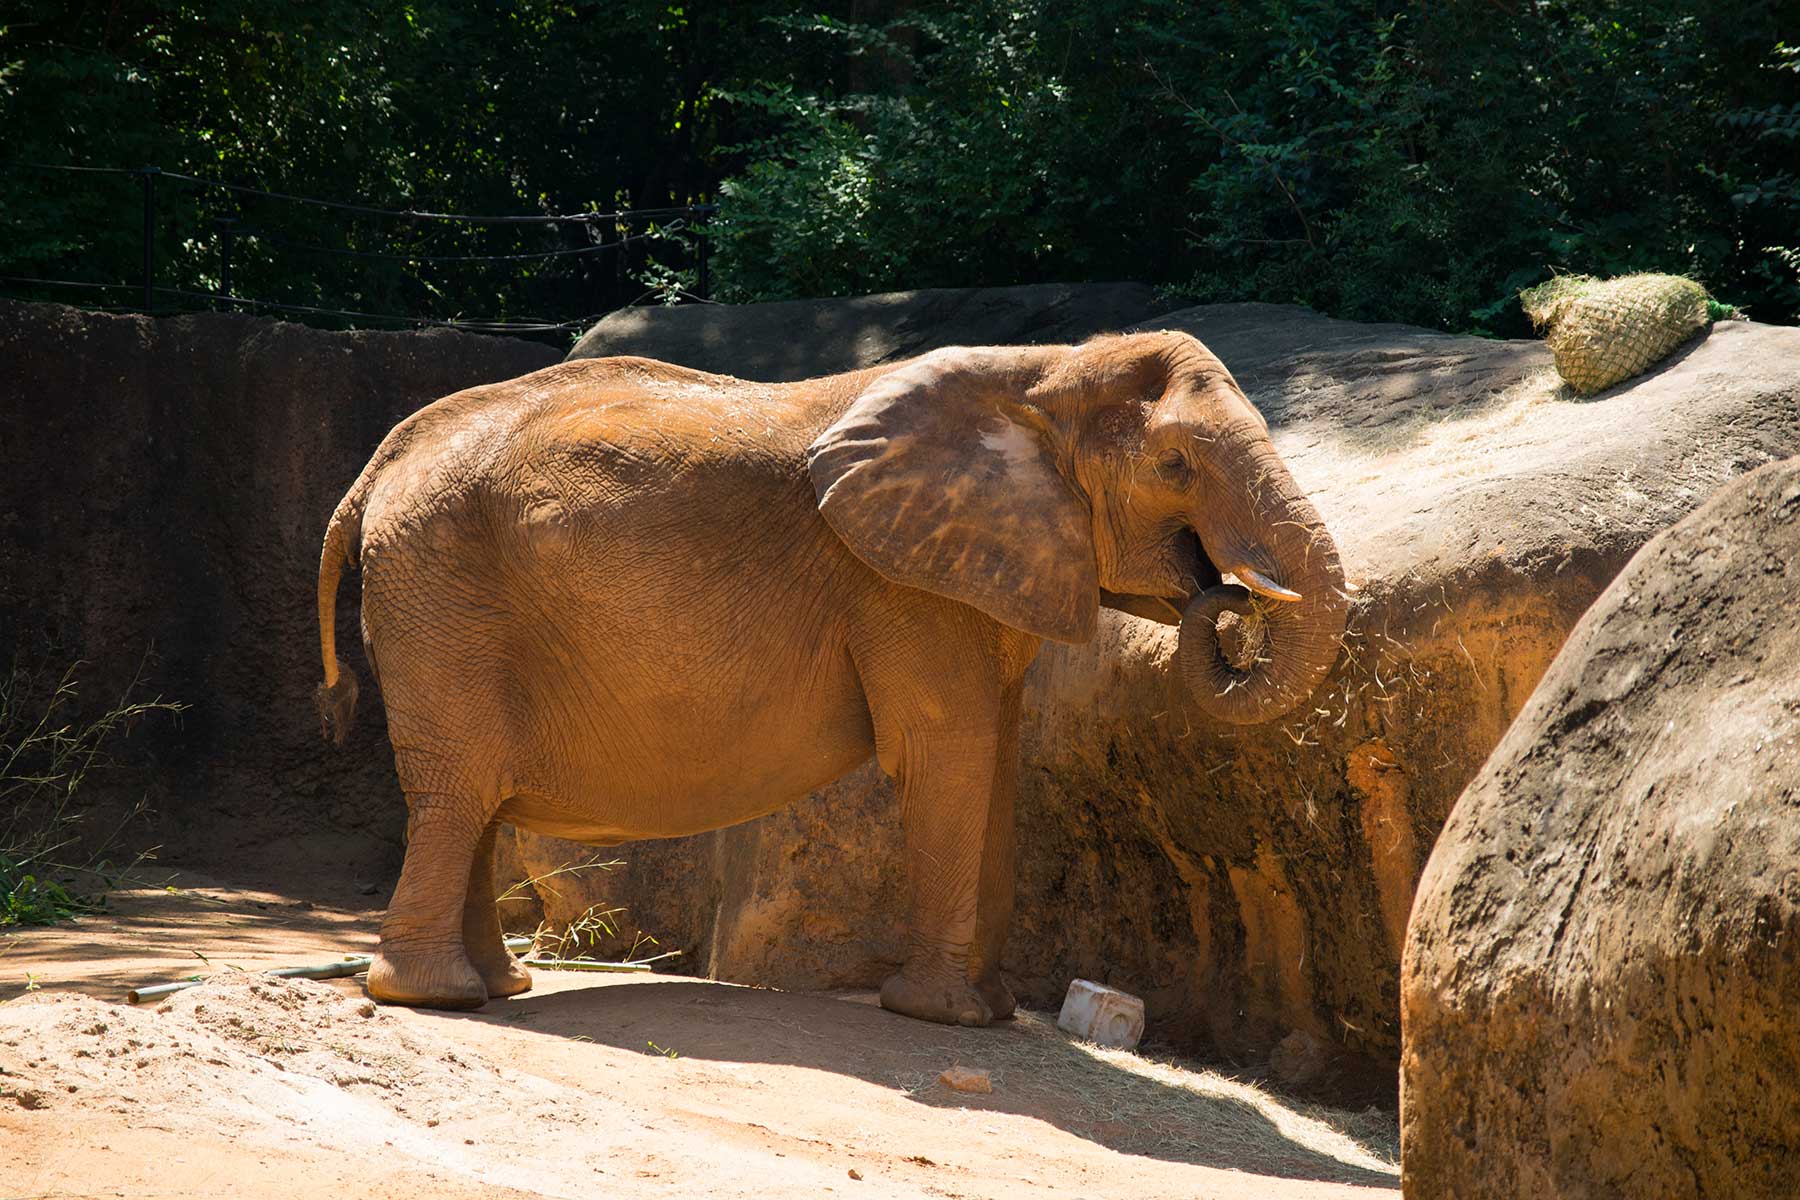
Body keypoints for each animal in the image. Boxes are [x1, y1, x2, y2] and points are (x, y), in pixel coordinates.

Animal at [313, 330, 1348, 1024]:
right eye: (1175, 464)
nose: (1225, 594)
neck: (1045, 369)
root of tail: (377, 467)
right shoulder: (901, 582)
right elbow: (948, 753)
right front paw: (943, 1016)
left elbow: (998, 758)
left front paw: (990, 1013)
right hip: (445, 592)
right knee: (460, 786)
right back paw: (438, 997)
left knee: (476, 797)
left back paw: (498, 986)